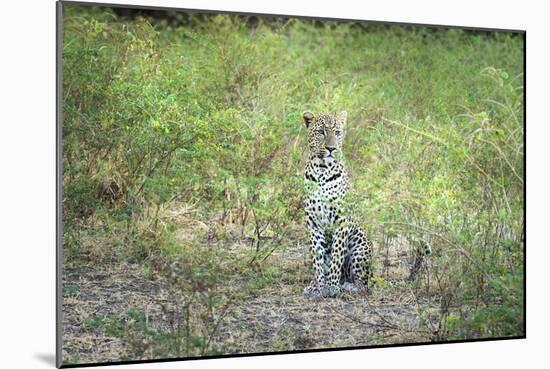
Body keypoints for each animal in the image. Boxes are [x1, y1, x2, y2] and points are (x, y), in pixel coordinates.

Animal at [302, 110, 376, 298]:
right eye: (321, 132)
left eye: (337, 132)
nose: (331, 149)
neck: (321, 170)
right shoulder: (313, 223)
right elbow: (318, 258)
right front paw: (318, 286)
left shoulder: (341, 222)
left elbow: (336, 255)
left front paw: (332, 287)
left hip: (359, 245)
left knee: (364, 283)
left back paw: (347, 286)